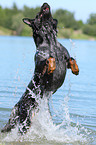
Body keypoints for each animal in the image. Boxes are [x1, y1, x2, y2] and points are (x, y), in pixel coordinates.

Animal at [1, 2, 79, 134]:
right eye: (38, 14)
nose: (45, 3)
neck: (51, 41)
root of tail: (17, 105)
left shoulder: (66, 58)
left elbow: (71, 59)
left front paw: (76, 69)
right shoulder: (40, 66)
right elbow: (49, 59)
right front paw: (52, 66)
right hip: (25, 120)